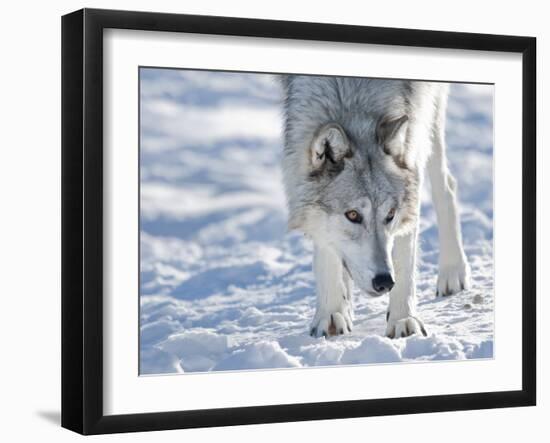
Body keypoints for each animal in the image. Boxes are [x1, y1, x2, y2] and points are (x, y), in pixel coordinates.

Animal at [282, 77, 472, 340]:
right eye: (353, 215)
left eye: (390, 215)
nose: (384, 282)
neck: (353, 97)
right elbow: (326, 247)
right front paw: (331, 314)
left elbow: (404, 256)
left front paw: (403, 320)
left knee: (447, 187)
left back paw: (452, 271)